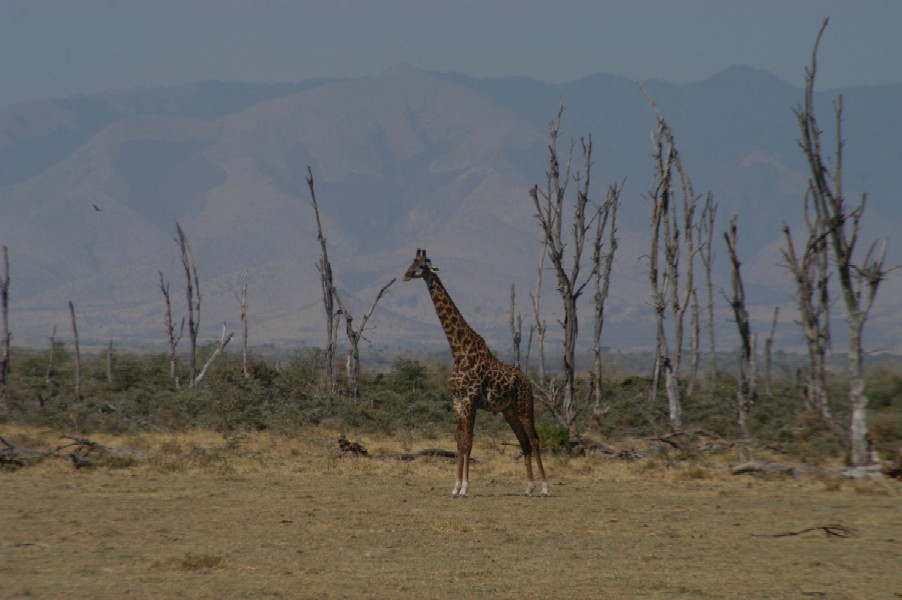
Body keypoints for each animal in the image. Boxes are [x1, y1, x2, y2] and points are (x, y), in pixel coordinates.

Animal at [404, 248, 552, 496]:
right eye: (412, 262)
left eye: (422, 266)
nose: (406, 275)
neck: (458, 350)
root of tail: (527, 381)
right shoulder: (457, 401)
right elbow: (459, 444)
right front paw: (455, 487)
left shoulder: (471, 400)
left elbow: (469, 444)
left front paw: (464, 487)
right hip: (509, 410)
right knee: (523, 442)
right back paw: (529, 487)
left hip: (524, 405)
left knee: (534, 439)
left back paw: (544, 487)